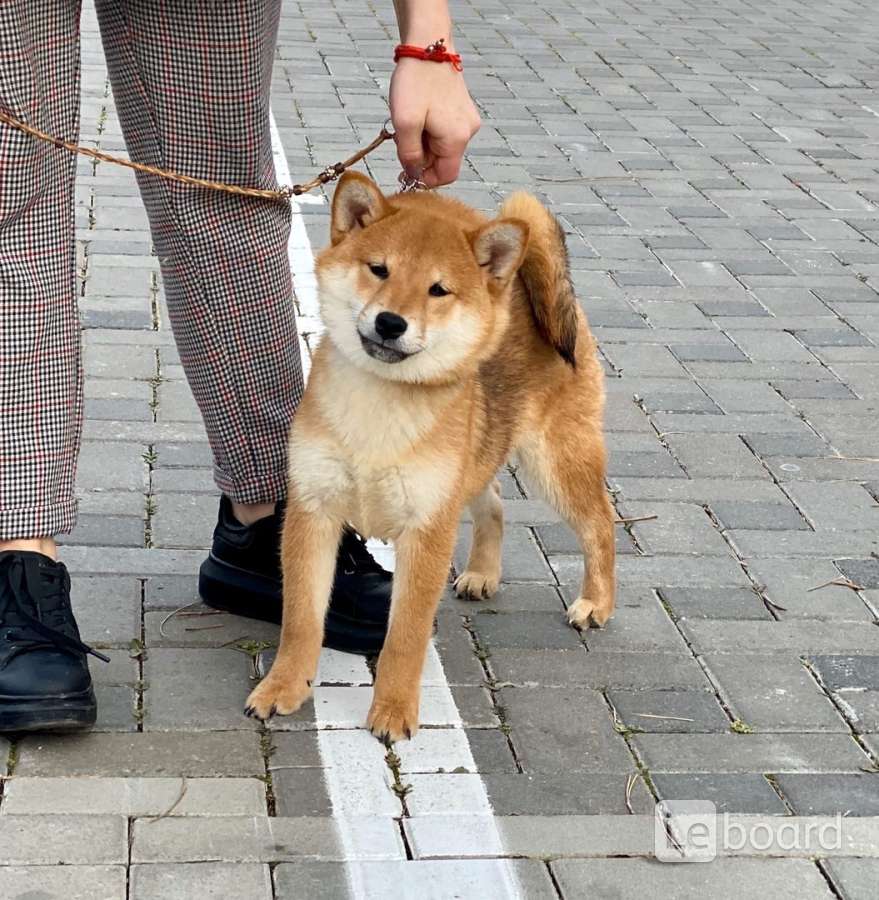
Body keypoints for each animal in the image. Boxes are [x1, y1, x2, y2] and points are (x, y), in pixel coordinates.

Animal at [246, 172, 620, 740]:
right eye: (379, 269)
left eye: (438, 290)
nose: (390, 322)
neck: (380, 406)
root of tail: (520, 292)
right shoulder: (314, 510)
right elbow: (301, 618)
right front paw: (283, 687)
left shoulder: (427, 527)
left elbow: (405, 635)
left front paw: (394, 710)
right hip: (476, 459)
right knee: (494, 504)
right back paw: (483, 572)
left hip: (554, 459)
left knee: (600, 523)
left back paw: (596, 602)